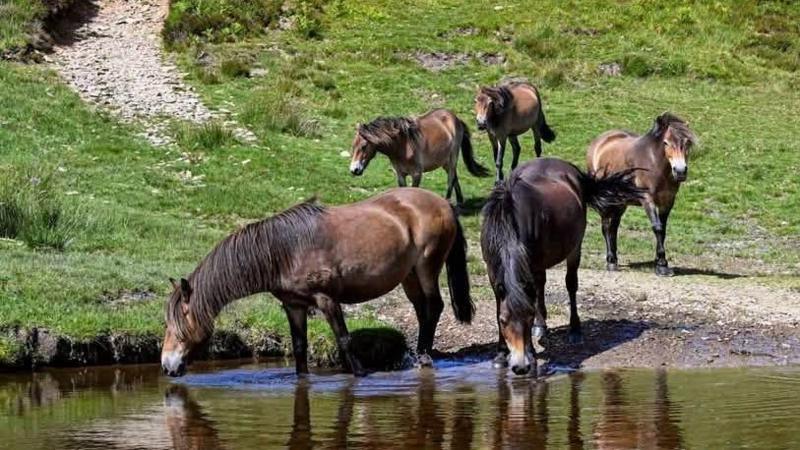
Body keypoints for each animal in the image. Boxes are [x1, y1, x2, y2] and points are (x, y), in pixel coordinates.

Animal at [161, 188, 475, 377]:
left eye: (181, 321)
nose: (166, 366)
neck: (285, 251)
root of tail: (443, 203)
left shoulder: (327, 299)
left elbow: (344, 340)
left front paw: (360, 373)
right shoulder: (294, 306)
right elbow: (300, 347)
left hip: (427, 267)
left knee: (435, 306)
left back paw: (425, 357)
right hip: (409, 276)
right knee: (422, 310)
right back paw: (419, 354)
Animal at [349, 109, 489, 206]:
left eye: (364, 146)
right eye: (353, 145)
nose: (354, 170)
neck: (403, 145)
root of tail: (455, 118)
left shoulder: (416, 174)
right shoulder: (400, 174)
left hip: (452, 158)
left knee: (450, 179)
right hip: (445, 162)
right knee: (454, 177)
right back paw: (459, 201)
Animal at [480, 158, 643, 376]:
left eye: (528, 317)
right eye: (504, 321)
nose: (521, 367)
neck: (507, 221)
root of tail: (571, 169)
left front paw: (531, 353)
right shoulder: (493, 271)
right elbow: (500, 304)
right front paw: (500, 354)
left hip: (573, 249)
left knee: (570, 285)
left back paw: (574, 330)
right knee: (540, 285)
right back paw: (542, 327)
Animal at [586, 112, 697, 276]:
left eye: (687, 142)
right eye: (666, 143)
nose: (680, 171)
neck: (654, 164)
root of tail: (599, 142)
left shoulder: (667, 201)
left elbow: (663, 230)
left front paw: (660, 262)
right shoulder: (647, 200)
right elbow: (657, 227)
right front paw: (662, 265)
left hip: (621, 203)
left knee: (614, 227)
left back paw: (615, 259)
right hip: (606, 200)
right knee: (606, 226)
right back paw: (610, 261)